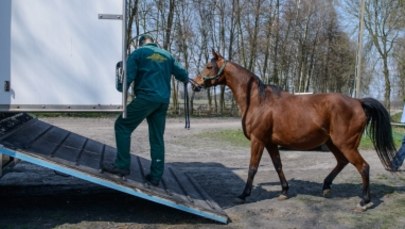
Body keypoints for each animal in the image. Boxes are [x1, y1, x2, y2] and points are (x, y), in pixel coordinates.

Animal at [190, 50, 404, 211]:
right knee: (342, 162)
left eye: (209, 66)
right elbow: (278, 166)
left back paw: (364, 201)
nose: (195, 83)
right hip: (333, 143)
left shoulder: (258, 140)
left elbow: (252, 168)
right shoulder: (270, 143)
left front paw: (243, 195)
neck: (258, 101)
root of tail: (358, 102)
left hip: (346, 144)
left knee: (363, 167)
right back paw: (326, 187)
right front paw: (284, 191)